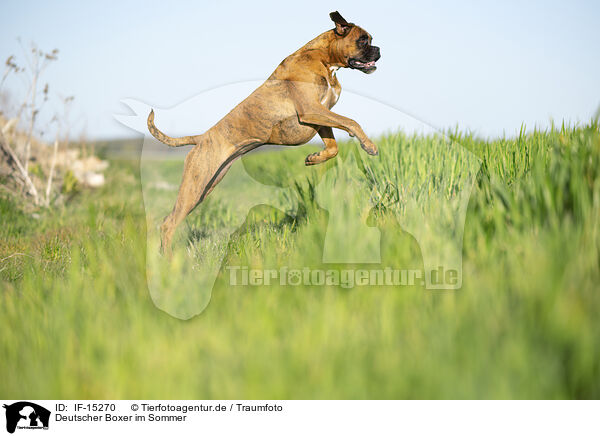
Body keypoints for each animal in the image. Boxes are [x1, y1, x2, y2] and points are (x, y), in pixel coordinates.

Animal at [148, 11, 382, 255]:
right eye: (363, 40)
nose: (378, 50)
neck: (323, 59)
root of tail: (202, 137)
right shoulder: (312, 110)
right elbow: (351, 122)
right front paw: (369, 145)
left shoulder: (320, 116)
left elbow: (333, 147)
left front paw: (314, 158)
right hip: (195, 185)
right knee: (168, 224)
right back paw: (168, 258)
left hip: (206, 186)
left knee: (170, 219)